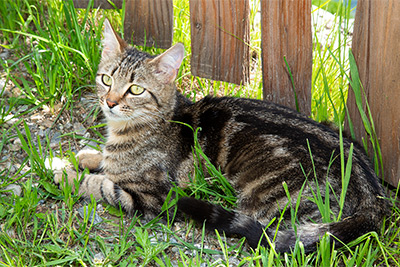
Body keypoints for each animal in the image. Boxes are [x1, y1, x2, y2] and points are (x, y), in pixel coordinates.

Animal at [53, 19, 388, 253]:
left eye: (135, 90)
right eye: (106, 79)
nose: (109, 102)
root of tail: (374, 193)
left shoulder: (152, 197)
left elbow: (102, 186)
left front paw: (65, 174)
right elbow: (102, 161)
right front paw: (81, 156)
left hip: (272, 204)